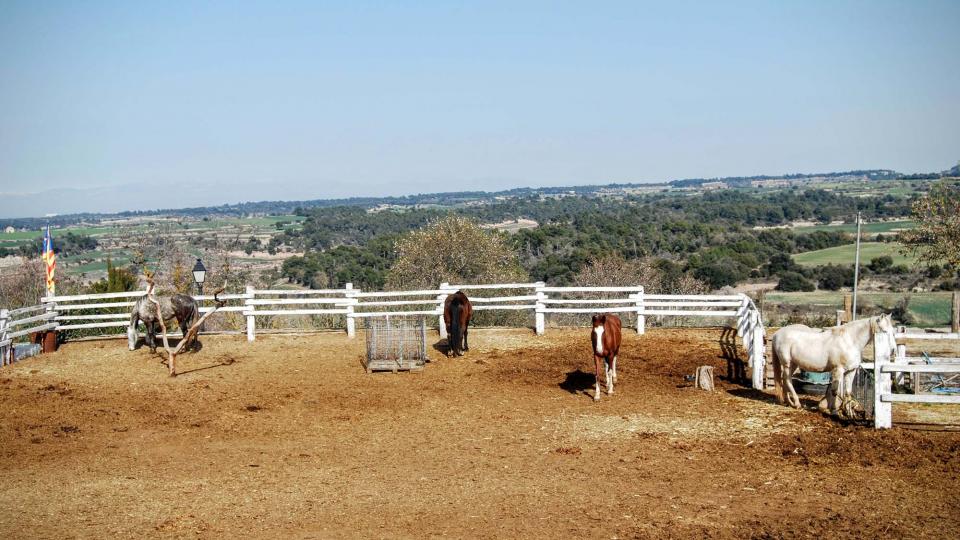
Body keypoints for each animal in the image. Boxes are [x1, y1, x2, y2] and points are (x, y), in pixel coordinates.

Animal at [768, 314, 896, 420]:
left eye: (893, 331)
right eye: (884, 331)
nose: (893, 351)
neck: (849, 341)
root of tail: (777, 334)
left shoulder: (851, 371)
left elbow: (848, 392)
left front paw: (849, 414)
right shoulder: (838, 370)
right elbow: (834, 391)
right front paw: (834, 412)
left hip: (793, 364)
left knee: (785, 380)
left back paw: (789, 402)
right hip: (787, 364)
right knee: (787, 380)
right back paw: (797, 403)